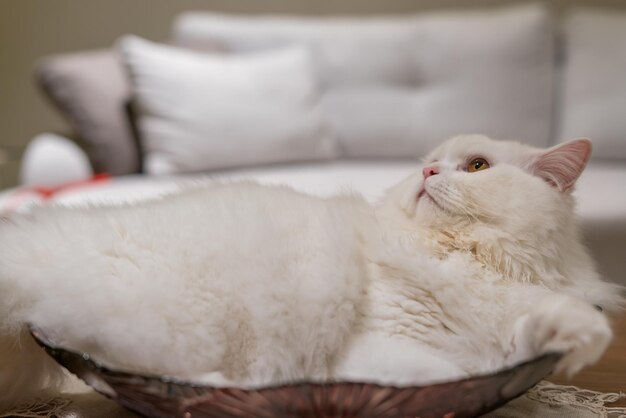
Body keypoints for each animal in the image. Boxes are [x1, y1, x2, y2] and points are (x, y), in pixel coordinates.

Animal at [0, 136, 620, 410]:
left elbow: (527, 337)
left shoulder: (508, 325)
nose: (425, 172)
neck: (460, 255)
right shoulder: (387, 351)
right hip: (185, 328)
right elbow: (443, 373)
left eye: (477, 166)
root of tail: (35, 240)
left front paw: (576, 336)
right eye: (432, 161)